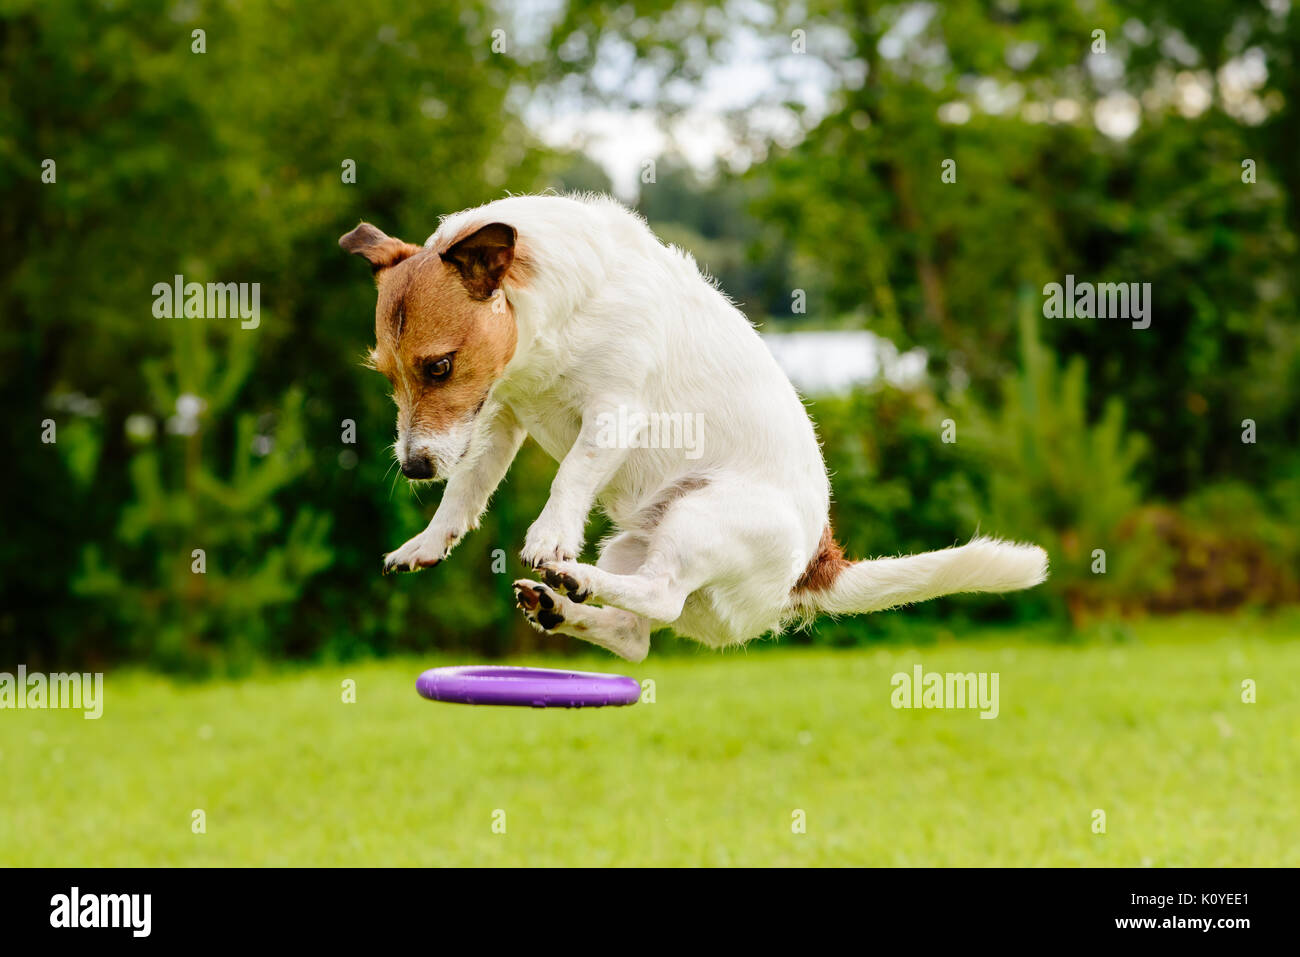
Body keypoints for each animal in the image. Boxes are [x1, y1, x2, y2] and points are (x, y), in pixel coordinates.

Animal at [338, 192, 1045, 657]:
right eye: (388, 375)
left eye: (438, 366)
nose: (413, 467)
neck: (556, 313)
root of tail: (810, 571)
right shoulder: (500, 415)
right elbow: (468, 489)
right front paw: (427, 542)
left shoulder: (614, 411)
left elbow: (571, 476)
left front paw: (549, 537)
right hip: (636, 539)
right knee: (635, 635)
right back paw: (559, 605)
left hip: (699, 518)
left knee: (660, 597)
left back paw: (572, 577)